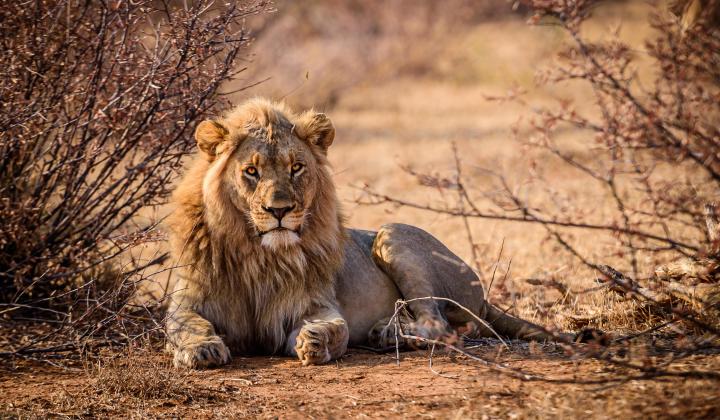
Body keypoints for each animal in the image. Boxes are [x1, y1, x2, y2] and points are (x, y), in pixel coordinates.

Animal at [166, 98, 576, 369]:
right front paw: (202, 350)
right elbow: (186, 324)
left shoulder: (314, 304)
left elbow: (336, 328)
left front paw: (315, 340)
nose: (279, 211)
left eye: (296, 167)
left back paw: (388, 333)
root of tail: (483, 294)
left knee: (440, 325)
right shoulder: (187, 299)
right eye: (251, 171)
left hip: (392, 234)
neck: (258, 253)